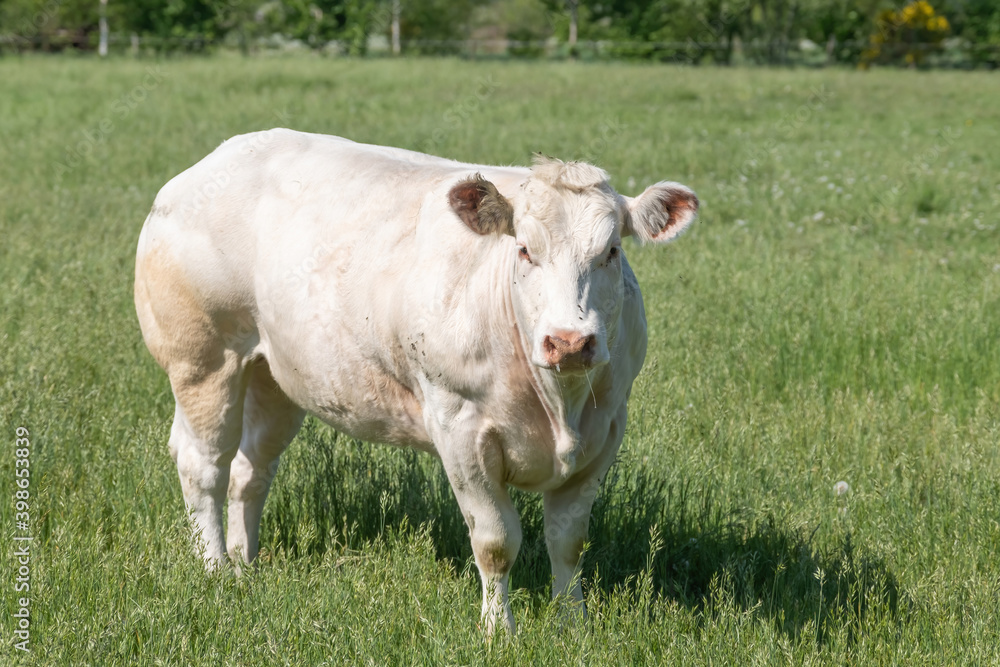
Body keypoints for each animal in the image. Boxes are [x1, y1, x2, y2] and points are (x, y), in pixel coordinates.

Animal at [133, 128, 700, 636]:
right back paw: (215, 571)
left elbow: (569, 542)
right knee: (203, 466)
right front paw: (498, 631)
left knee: (251, 469)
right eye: (524, 250)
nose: (569, 342)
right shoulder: (461, 429)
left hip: (275, 376)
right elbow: (496, 542)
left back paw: (245, 562)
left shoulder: (605, 432)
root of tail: (218, 158)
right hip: (203, 360)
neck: (559, 406)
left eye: (611, 252)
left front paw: (573, 627)